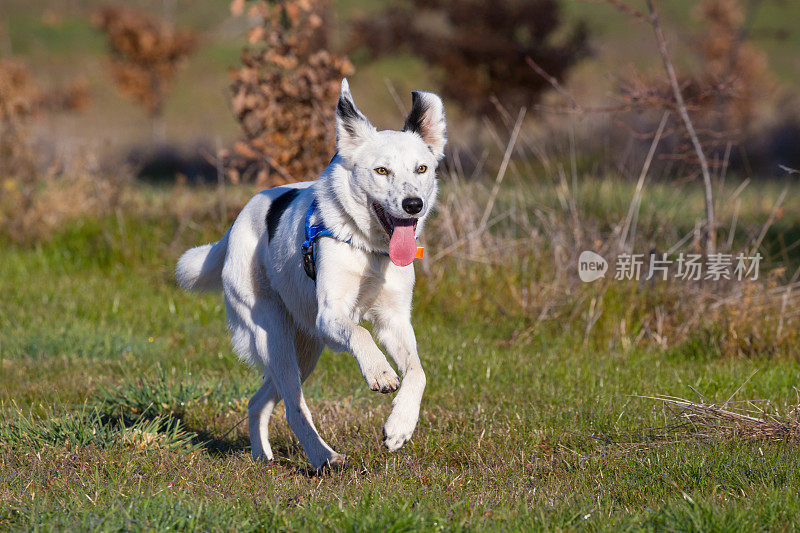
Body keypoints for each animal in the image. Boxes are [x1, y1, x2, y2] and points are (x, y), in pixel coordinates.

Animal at [176, 79, 446, 470]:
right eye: (382, 171)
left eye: (422, 169)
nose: (414, 205)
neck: (366, 246)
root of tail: (235, 225)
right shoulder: (331, 315)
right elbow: (359, 332)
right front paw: (379, 371)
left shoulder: (394, 320)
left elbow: (418, 372)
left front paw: (400, 426)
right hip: (274, 336)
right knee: (294, 406)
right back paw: (323, 457)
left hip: (306, 348)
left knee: (260, 401)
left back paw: (263, 457)